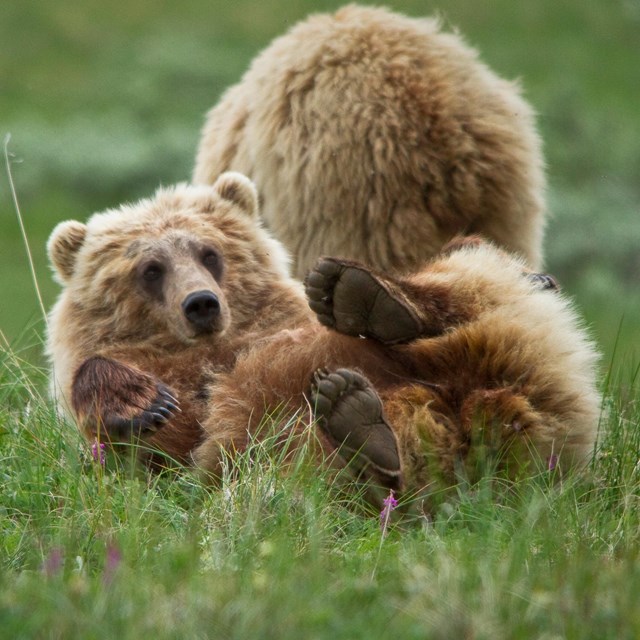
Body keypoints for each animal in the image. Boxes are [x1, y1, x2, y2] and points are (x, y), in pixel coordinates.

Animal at [46, 171, 600, 510]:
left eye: (209, 252)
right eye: (150, 269)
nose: (201, 304)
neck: (216, 351)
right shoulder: (192, 423)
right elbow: (163, 437)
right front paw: (141, 401)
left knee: (462, 270)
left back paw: (368, 297)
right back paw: (362, 424)